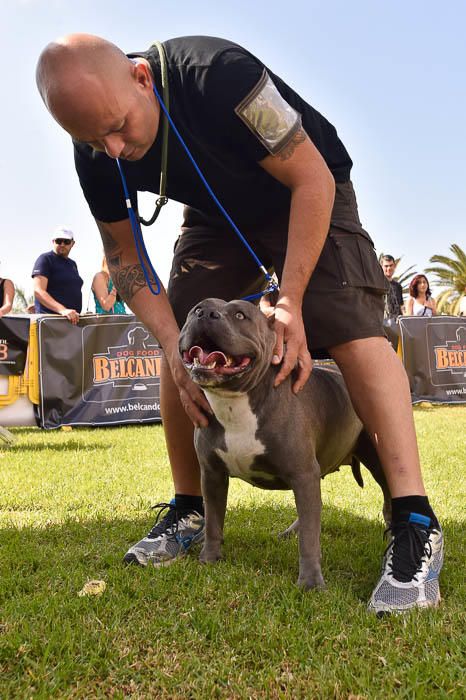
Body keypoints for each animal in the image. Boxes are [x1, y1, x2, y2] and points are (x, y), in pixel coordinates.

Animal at [180, 298, 392, 588]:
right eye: (196, 309)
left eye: (240, 315)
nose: (206, 314)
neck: (234, 403)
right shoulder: (212, 475)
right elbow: (213, 520)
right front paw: (209, 558)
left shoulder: (303, 474)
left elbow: (310, 540)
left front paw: (311, 581)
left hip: (378, 459)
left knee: (387, 499)